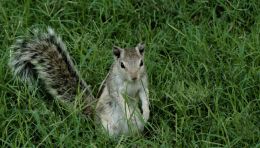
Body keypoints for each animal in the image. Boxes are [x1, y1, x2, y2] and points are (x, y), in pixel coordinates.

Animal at [9, 27, 149, 136]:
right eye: (122, 65)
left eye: (141, 62)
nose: (134, 76)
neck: (131, 82)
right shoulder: (114, 87)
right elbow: (120, 99)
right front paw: (129, 114)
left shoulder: (142, 85)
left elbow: (145, 97)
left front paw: (146, 113)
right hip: (108, 126)